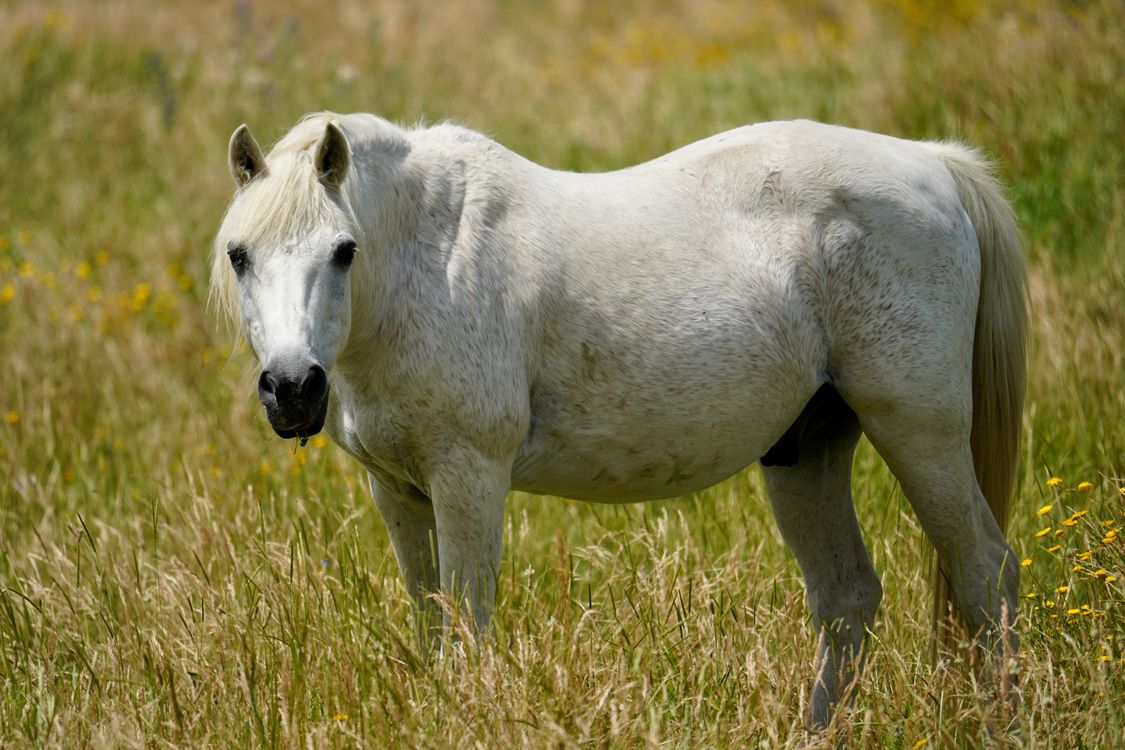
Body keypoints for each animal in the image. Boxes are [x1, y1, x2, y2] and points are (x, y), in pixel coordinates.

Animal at [211, 112, 1027, 728]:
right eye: (239, 255)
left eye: (344, 250)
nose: (292, 389)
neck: (428, 259)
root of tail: (933, 163)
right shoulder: (399, 490)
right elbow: (434, 627)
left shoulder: (468, 477)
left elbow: (469, 628)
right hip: (805, 452)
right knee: (847, 600)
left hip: (918, 430)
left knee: (985, 575)